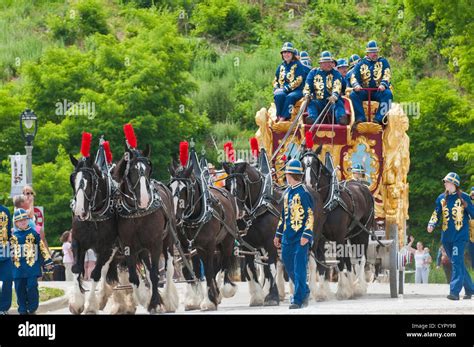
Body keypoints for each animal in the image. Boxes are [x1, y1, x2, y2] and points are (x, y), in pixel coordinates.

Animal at [69, 155, 119, 316]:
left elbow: (96, 274)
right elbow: (76, 269)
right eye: (73, 179)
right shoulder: (77, 242)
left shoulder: (107, 247)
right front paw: (77, 303)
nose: (79, 211)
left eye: (90, 181)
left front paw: (90, 305)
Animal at [113, 145, 180, 314]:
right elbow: (135, 277)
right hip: (142, 249)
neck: (138, 213)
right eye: (131, 170)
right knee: (148, 271)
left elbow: (156, 274)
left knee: (168, 268)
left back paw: (169, 300)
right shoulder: (129, 246)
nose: (144, 199)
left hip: (168, 240)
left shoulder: (155, 244)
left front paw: (156, 303)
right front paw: (145, 299)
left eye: (149, 168)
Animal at [168, 162, 239, 312]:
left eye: (185, 189)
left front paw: (209, 301)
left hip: (227, 240)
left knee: (224, 262)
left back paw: (225, 289)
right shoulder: (186, 246)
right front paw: (194, 300)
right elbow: (190, 271)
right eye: (170, 187)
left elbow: (208, 270)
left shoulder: (209, 245)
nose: (174, 218)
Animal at [300, 145, 374, 302]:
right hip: (349, 235)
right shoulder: (318, 238)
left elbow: (340, 261)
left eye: (315, 163)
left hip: (362, 232)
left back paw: (359, 287)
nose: (308, 184)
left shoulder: (339, 236)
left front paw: (342, 291)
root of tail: (361, 186)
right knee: (350, 260)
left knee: (361, 258)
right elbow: (318, 263)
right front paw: (321, 293)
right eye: (302, 163)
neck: (327, 203)